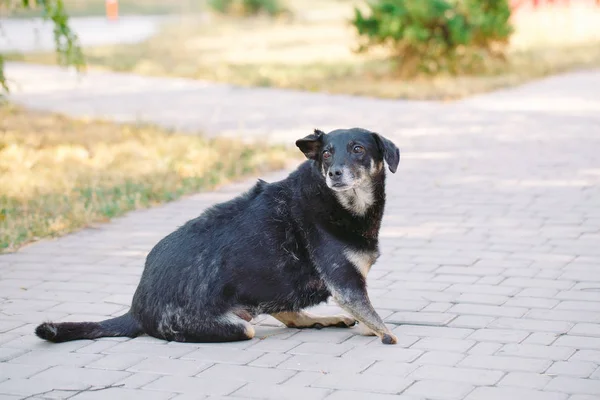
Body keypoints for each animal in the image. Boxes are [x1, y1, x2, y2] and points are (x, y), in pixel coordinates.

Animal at [37, 127, 404, 344]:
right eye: (327, 152)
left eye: (358, 149)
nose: (334, 173)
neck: (339, 202)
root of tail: (136, 310)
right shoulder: (346, 283)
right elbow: (376, 319)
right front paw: (387, 335)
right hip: (234, 325)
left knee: (288, 314)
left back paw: (322, 320)